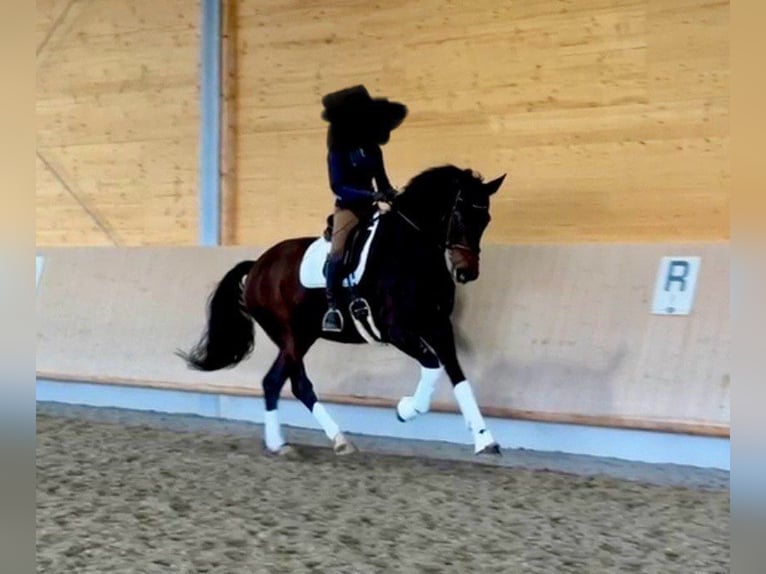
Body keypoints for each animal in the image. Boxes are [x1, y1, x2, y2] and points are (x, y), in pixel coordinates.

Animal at [177, 165, 508, 460]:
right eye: (460, 216)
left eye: (486, 218)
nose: (467, 272)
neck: (411, 253)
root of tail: (258, 265)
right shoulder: (397, 331)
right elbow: (432, 366)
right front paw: (406, 410)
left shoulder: (439, 326)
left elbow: (457, 377)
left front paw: (485, 440)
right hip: (290, 335)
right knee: (299, 385)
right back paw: (338, 440)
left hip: (302, 336)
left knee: (272, 382)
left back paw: (279, 444)